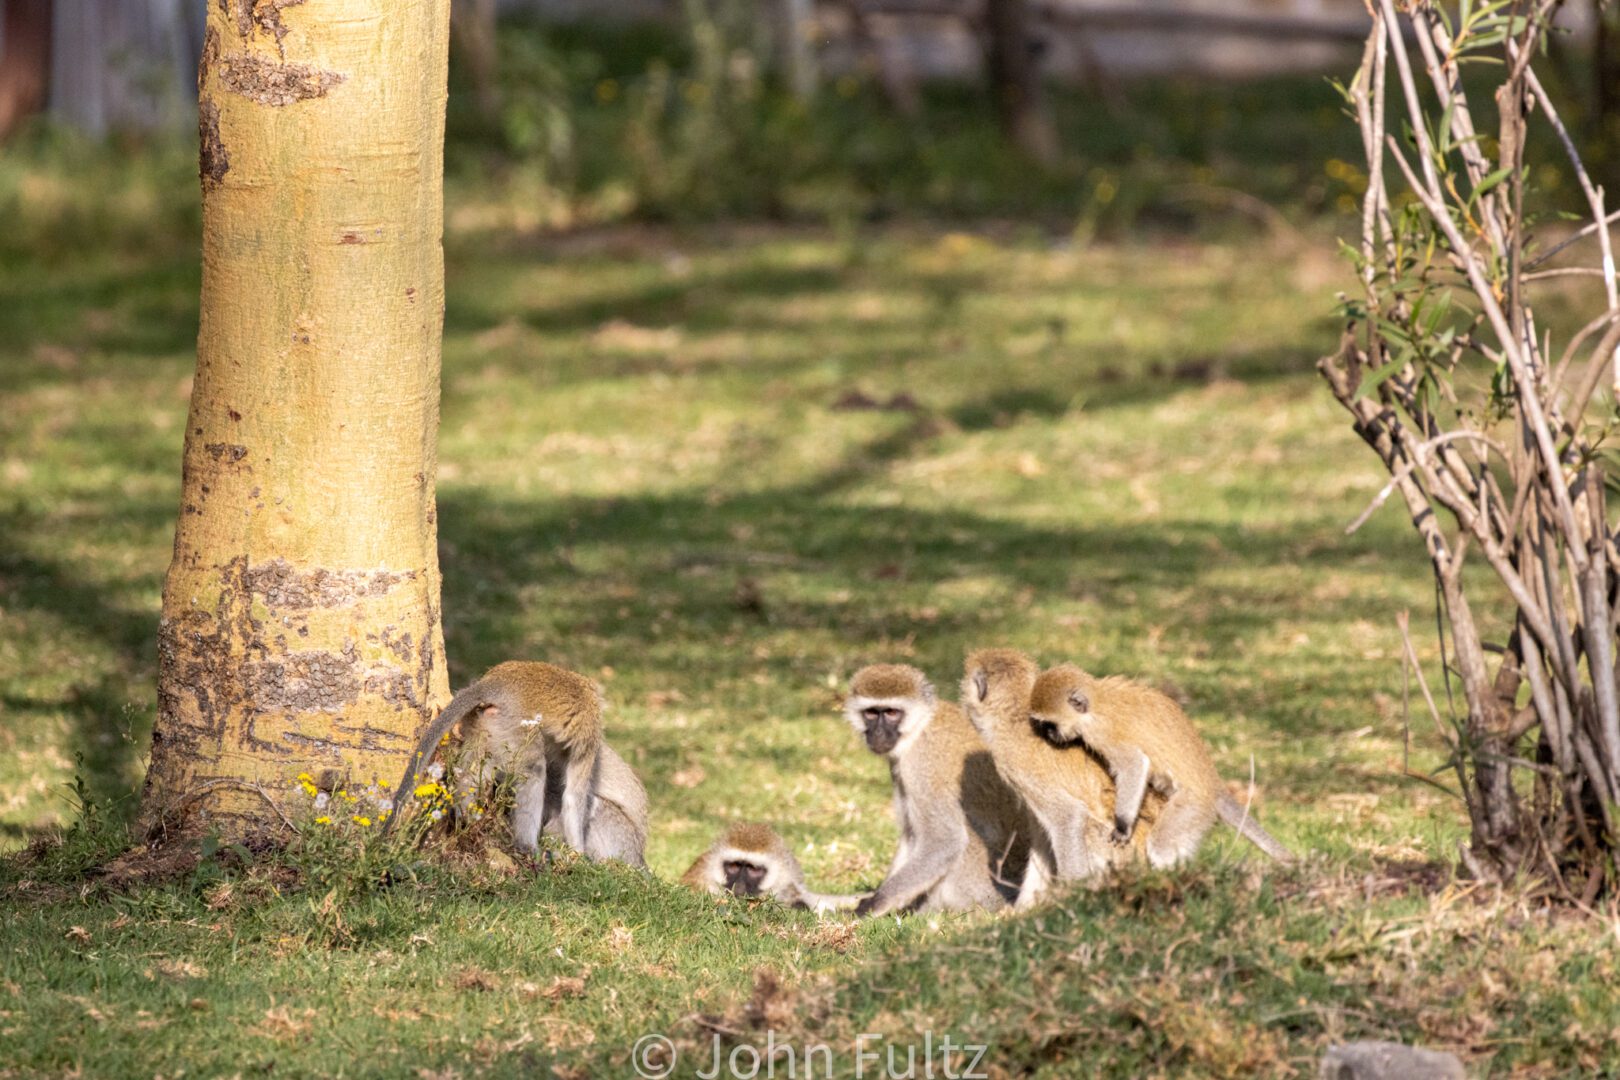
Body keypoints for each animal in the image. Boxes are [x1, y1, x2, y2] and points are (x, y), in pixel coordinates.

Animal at [387, 654, 644, 867]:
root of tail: (497, 683)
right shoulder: (588, 739)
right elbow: (574, 798)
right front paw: (576, 853)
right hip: (513, 725)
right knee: (536, 769)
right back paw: (527, 846)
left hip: (485, 723)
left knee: (474, 769)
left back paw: (467, 810)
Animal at [842, 663, 1030, 919]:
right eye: (871, 713)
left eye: (892, 713)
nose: (878, 734)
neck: (920, 727)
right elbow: (911, 834)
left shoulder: (922, 764)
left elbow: (943, 841)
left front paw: (874, 904)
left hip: (984, 890)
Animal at [1036, 663, 1289, 867]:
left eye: (1050, 725)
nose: (1049, 736)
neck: (1097, 699)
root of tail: (1214, 787)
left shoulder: (1101, 733)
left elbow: (1134, 764)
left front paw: (1122, 826)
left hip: (1193, 806)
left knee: (1162, 844)